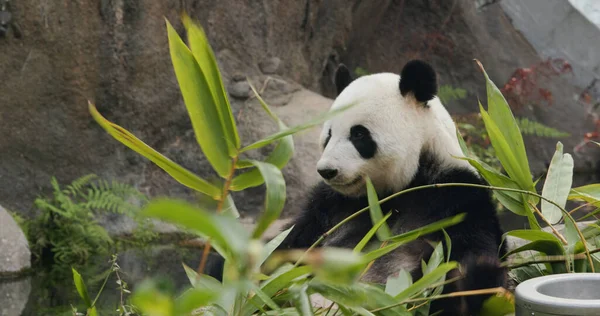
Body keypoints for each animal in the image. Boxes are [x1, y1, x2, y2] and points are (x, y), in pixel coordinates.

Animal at [276, 59, 506, 316]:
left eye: (358, 134)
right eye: (329, 135)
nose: (327, 170)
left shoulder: (454, 198)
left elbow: (465, 261)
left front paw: (471, 279)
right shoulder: (329, 208)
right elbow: (285, 246)